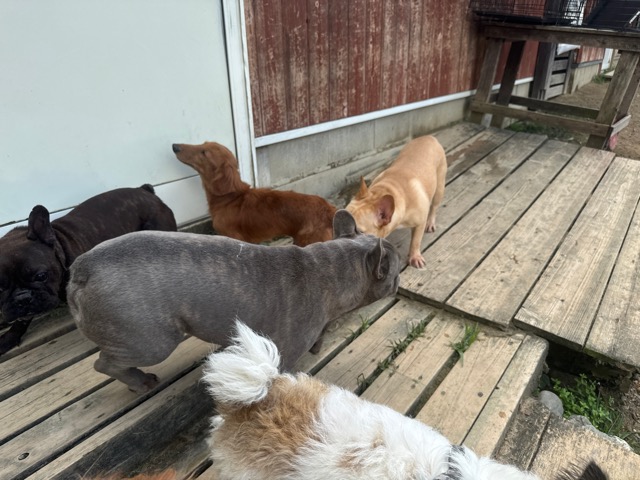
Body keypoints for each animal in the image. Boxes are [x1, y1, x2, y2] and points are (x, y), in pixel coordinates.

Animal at [67, 210, 401, 393]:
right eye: (396, 271)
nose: (399, 279)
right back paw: (140, 381)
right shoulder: (285, 352)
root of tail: (82, 268)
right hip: (151, 341)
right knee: (105, 362)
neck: (330, 269)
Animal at [172, 141, 337, 246]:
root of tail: (330, 210)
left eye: (204, 153)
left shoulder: (234, 237)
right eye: (202, 144)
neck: (230, 198)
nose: (175, 146)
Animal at [346, 135, 447, 269]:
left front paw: (415, 256)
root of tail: (429, 137)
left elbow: (416, 241)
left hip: (439, 188)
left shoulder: (420, 223)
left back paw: (430, 223)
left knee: (434, 207)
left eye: (359, 232)